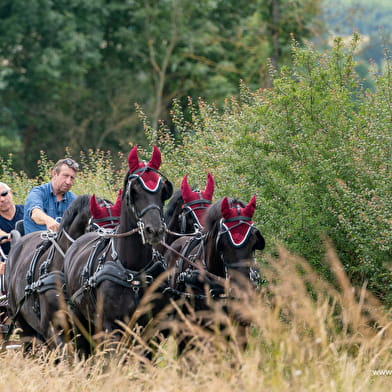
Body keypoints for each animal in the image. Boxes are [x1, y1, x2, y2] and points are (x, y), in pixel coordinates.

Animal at [63, 145, 173, 354]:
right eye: (134, 190)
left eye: (163, 190)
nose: (155, 230)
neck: (133, 269)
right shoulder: (111, 327)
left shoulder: (150, 331)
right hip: (80, 320)